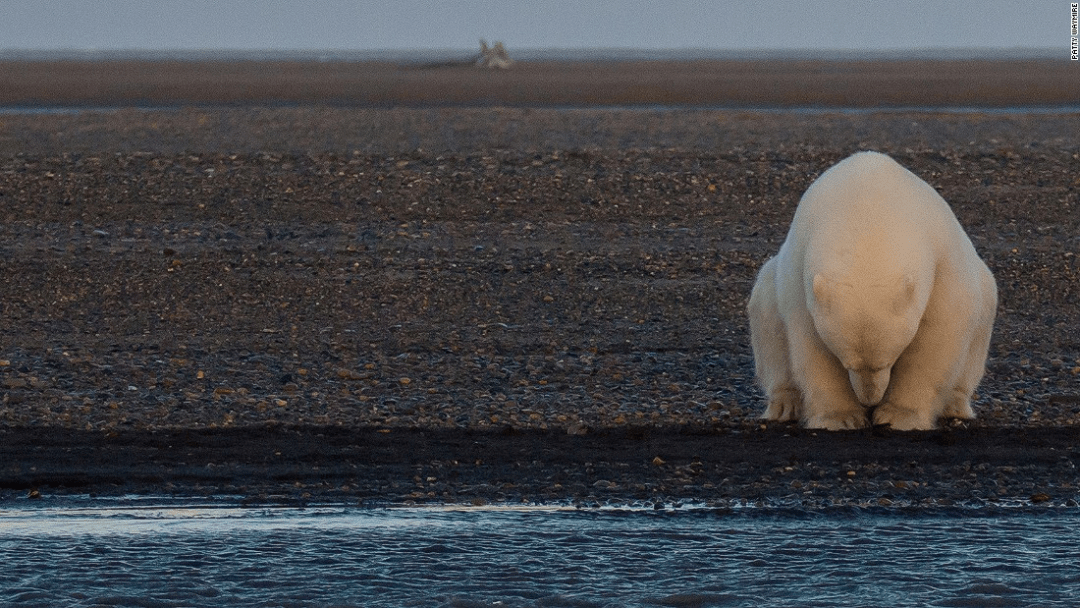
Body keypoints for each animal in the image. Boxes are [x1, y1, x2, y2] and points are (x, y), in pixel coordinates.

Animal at [751, 150, 993, 429]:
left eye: (886, 362)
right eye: (847, 363)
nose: (869, 400)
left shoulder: (942, 262)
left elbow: (935, 340)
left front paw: (899, 416)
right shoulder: (800, 277)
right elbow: (811, 346)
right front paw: (840, 417)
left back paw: (954, 405)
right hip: (769, 288)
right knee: (767, 322)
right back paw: (784, 405)